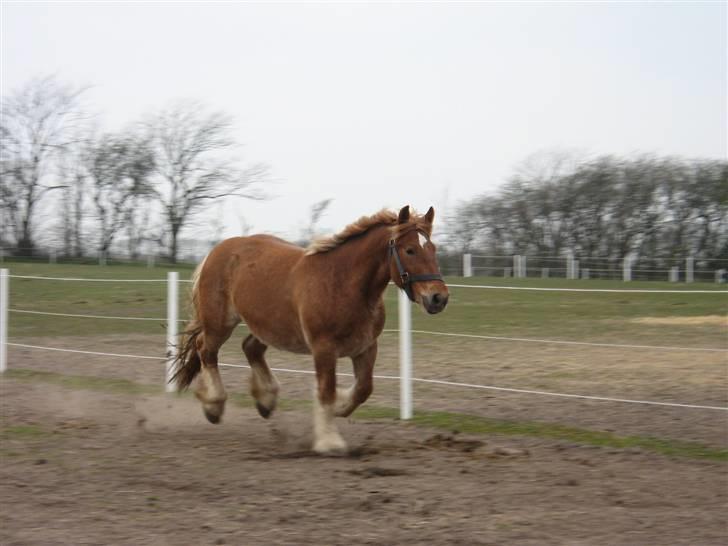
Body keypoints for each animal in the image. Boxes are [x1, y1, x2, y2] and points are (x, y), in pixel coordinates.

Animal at [172, 204, 450, 450]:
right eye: (410, 250)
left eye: (433, 248)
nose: (438, 298)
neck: (343, 283)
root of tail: (216, 251)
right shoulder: (323, 348)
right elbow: (327, 391)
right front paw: (329, 441)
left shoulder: (366, 347)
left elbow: (363, 389)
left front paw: (338, 407)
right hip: (219, 323)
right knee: (206, 351)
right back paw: (214, 405)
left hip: (268, 325)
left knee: (250, 347)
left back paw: (266, 400)